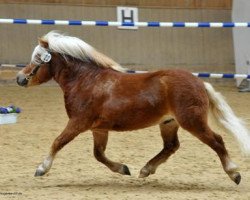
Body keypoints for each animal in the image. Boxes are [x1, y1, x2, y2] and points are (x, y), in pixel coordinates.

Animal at [16, 31, 249, 184]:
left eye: (38, 59)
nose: (20, 78)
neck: (86, 81)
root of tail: (200, 82)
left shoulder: (78, 123)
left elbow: (58, 142)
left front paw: (41, 169)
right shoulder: (98, 129)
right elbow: (98, 154)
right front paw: (123, 169)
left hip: (192, 121)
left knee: (217, 141)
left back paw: (234, 173)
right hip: (169, 123)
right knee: (171, 146)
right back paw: (146, 169)